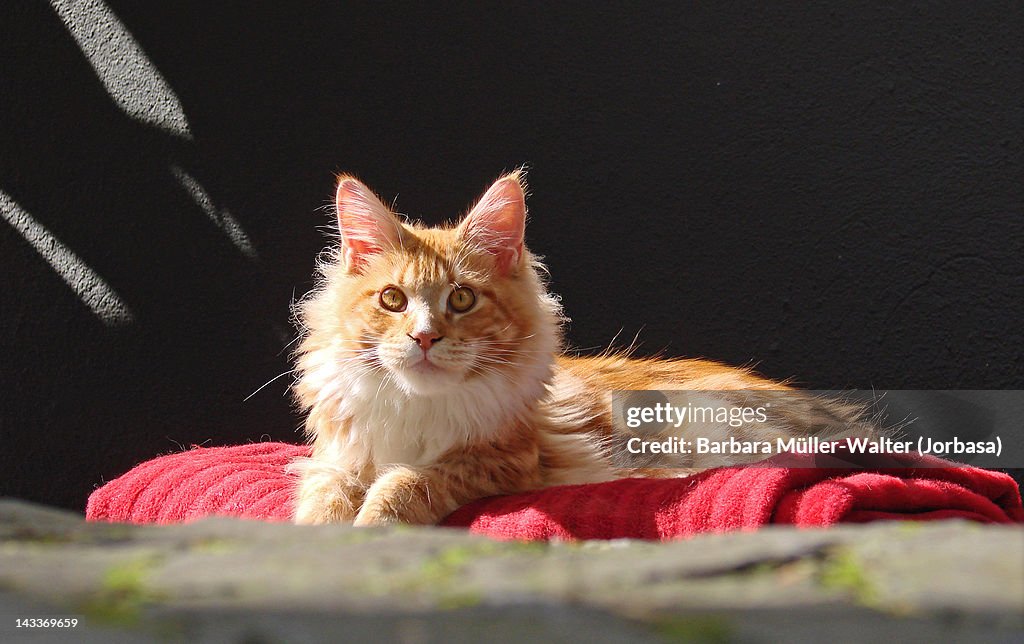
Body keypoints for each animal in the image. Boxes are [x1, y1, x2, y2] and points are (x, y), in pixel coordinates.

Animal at [290, 173, 872, 524]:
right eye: (392, 300)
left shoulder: (504, 461)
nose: (425, 336)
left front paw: (374, 523)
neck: (417, 406)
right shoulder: (337, 458)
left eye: (461, 298)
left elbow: (407, 482)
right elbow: (324, 496)